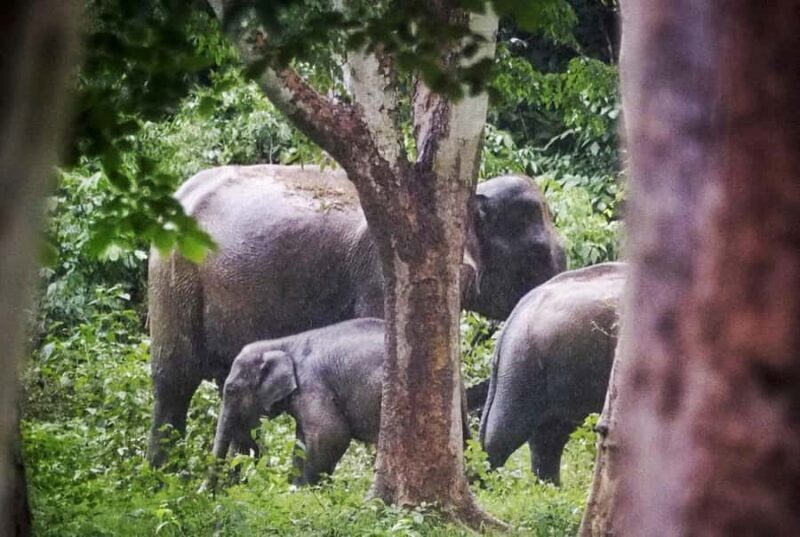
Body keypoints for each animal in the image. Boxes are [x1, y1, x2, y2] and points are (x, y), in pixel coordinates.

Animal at [212, 318, 385, 485]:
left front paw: (310, 488)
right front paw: (296, 487)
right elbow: (301, 441)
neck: (281, 343)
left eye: (231, 390)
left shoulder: (312, 385)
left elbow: (330, 434)